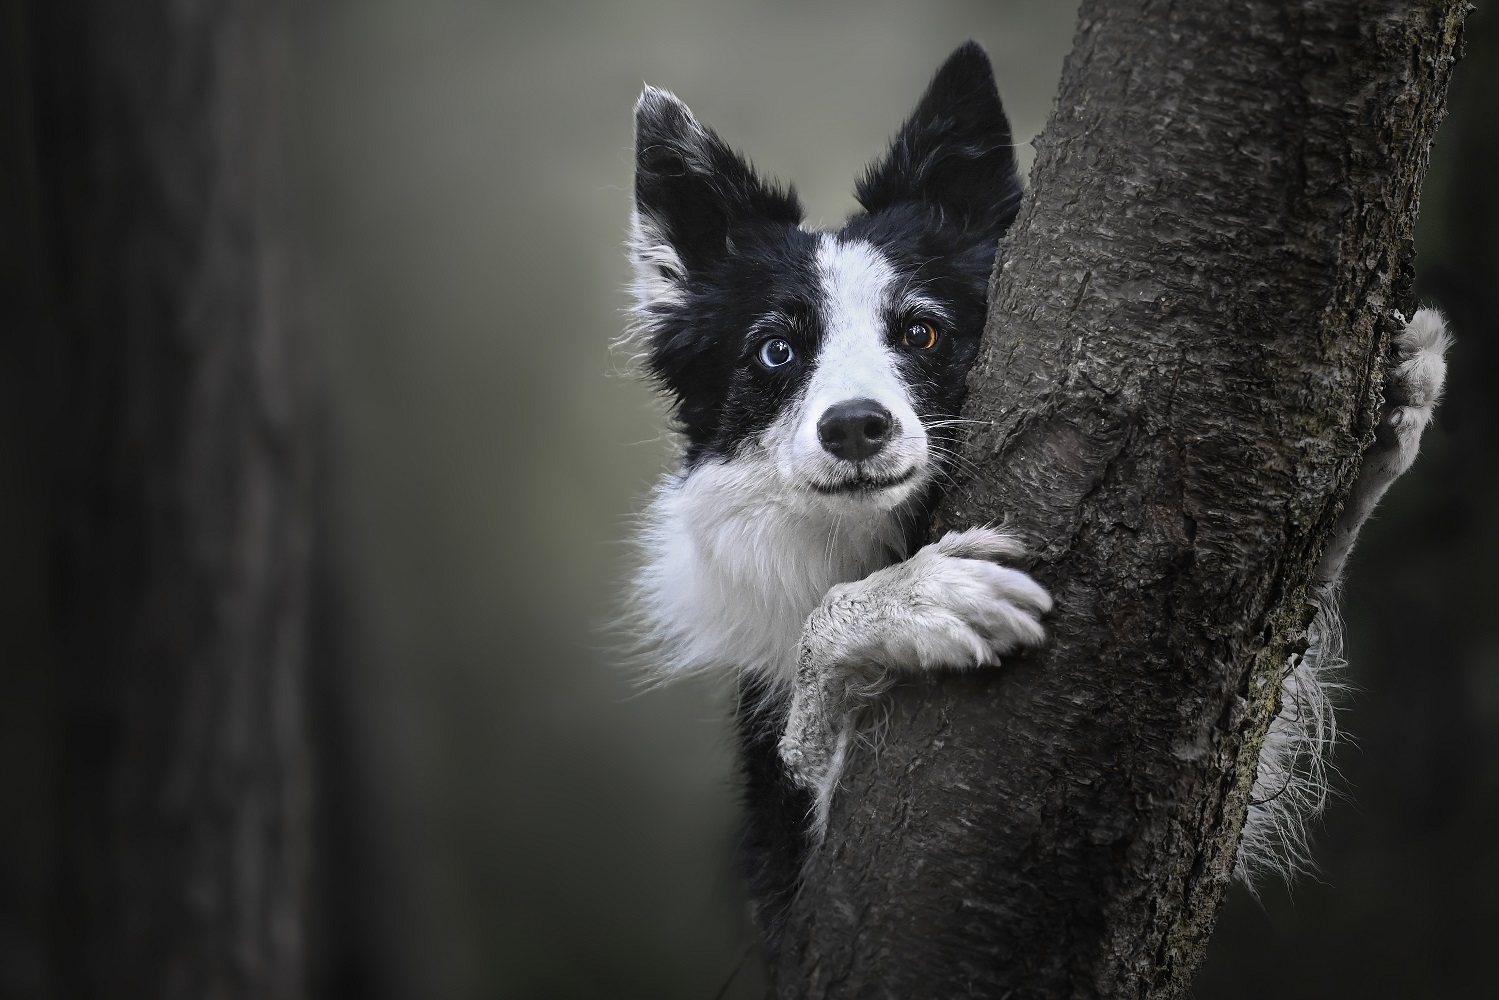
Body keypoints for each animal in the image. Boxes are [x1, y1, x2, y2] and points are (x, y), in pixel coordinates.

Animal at [623, 43, 1451, 941]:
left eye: (921, 332)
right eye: (775, 351)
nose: (854, 429)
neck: (872, 537)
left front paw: (1390, 409)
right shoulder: (791, 881)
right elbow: (817, 657)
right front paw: (917, 598)